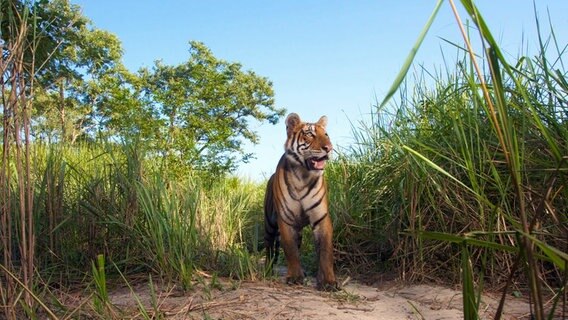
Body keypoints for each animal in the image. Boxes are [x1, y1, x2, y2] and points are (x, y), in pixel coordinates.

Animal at [262, 112, 338, 292]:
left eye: (326, 134)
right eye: (309, 134)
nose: (329, 148)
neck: (303, 175)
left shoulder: (321, 218)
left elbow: (325, 252)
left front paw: (327, 281)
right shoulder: (286, 220)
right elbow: (290, 250)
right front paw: (295, 277)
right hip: (269, 223)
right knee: (269, 247)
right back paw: (268, 270)